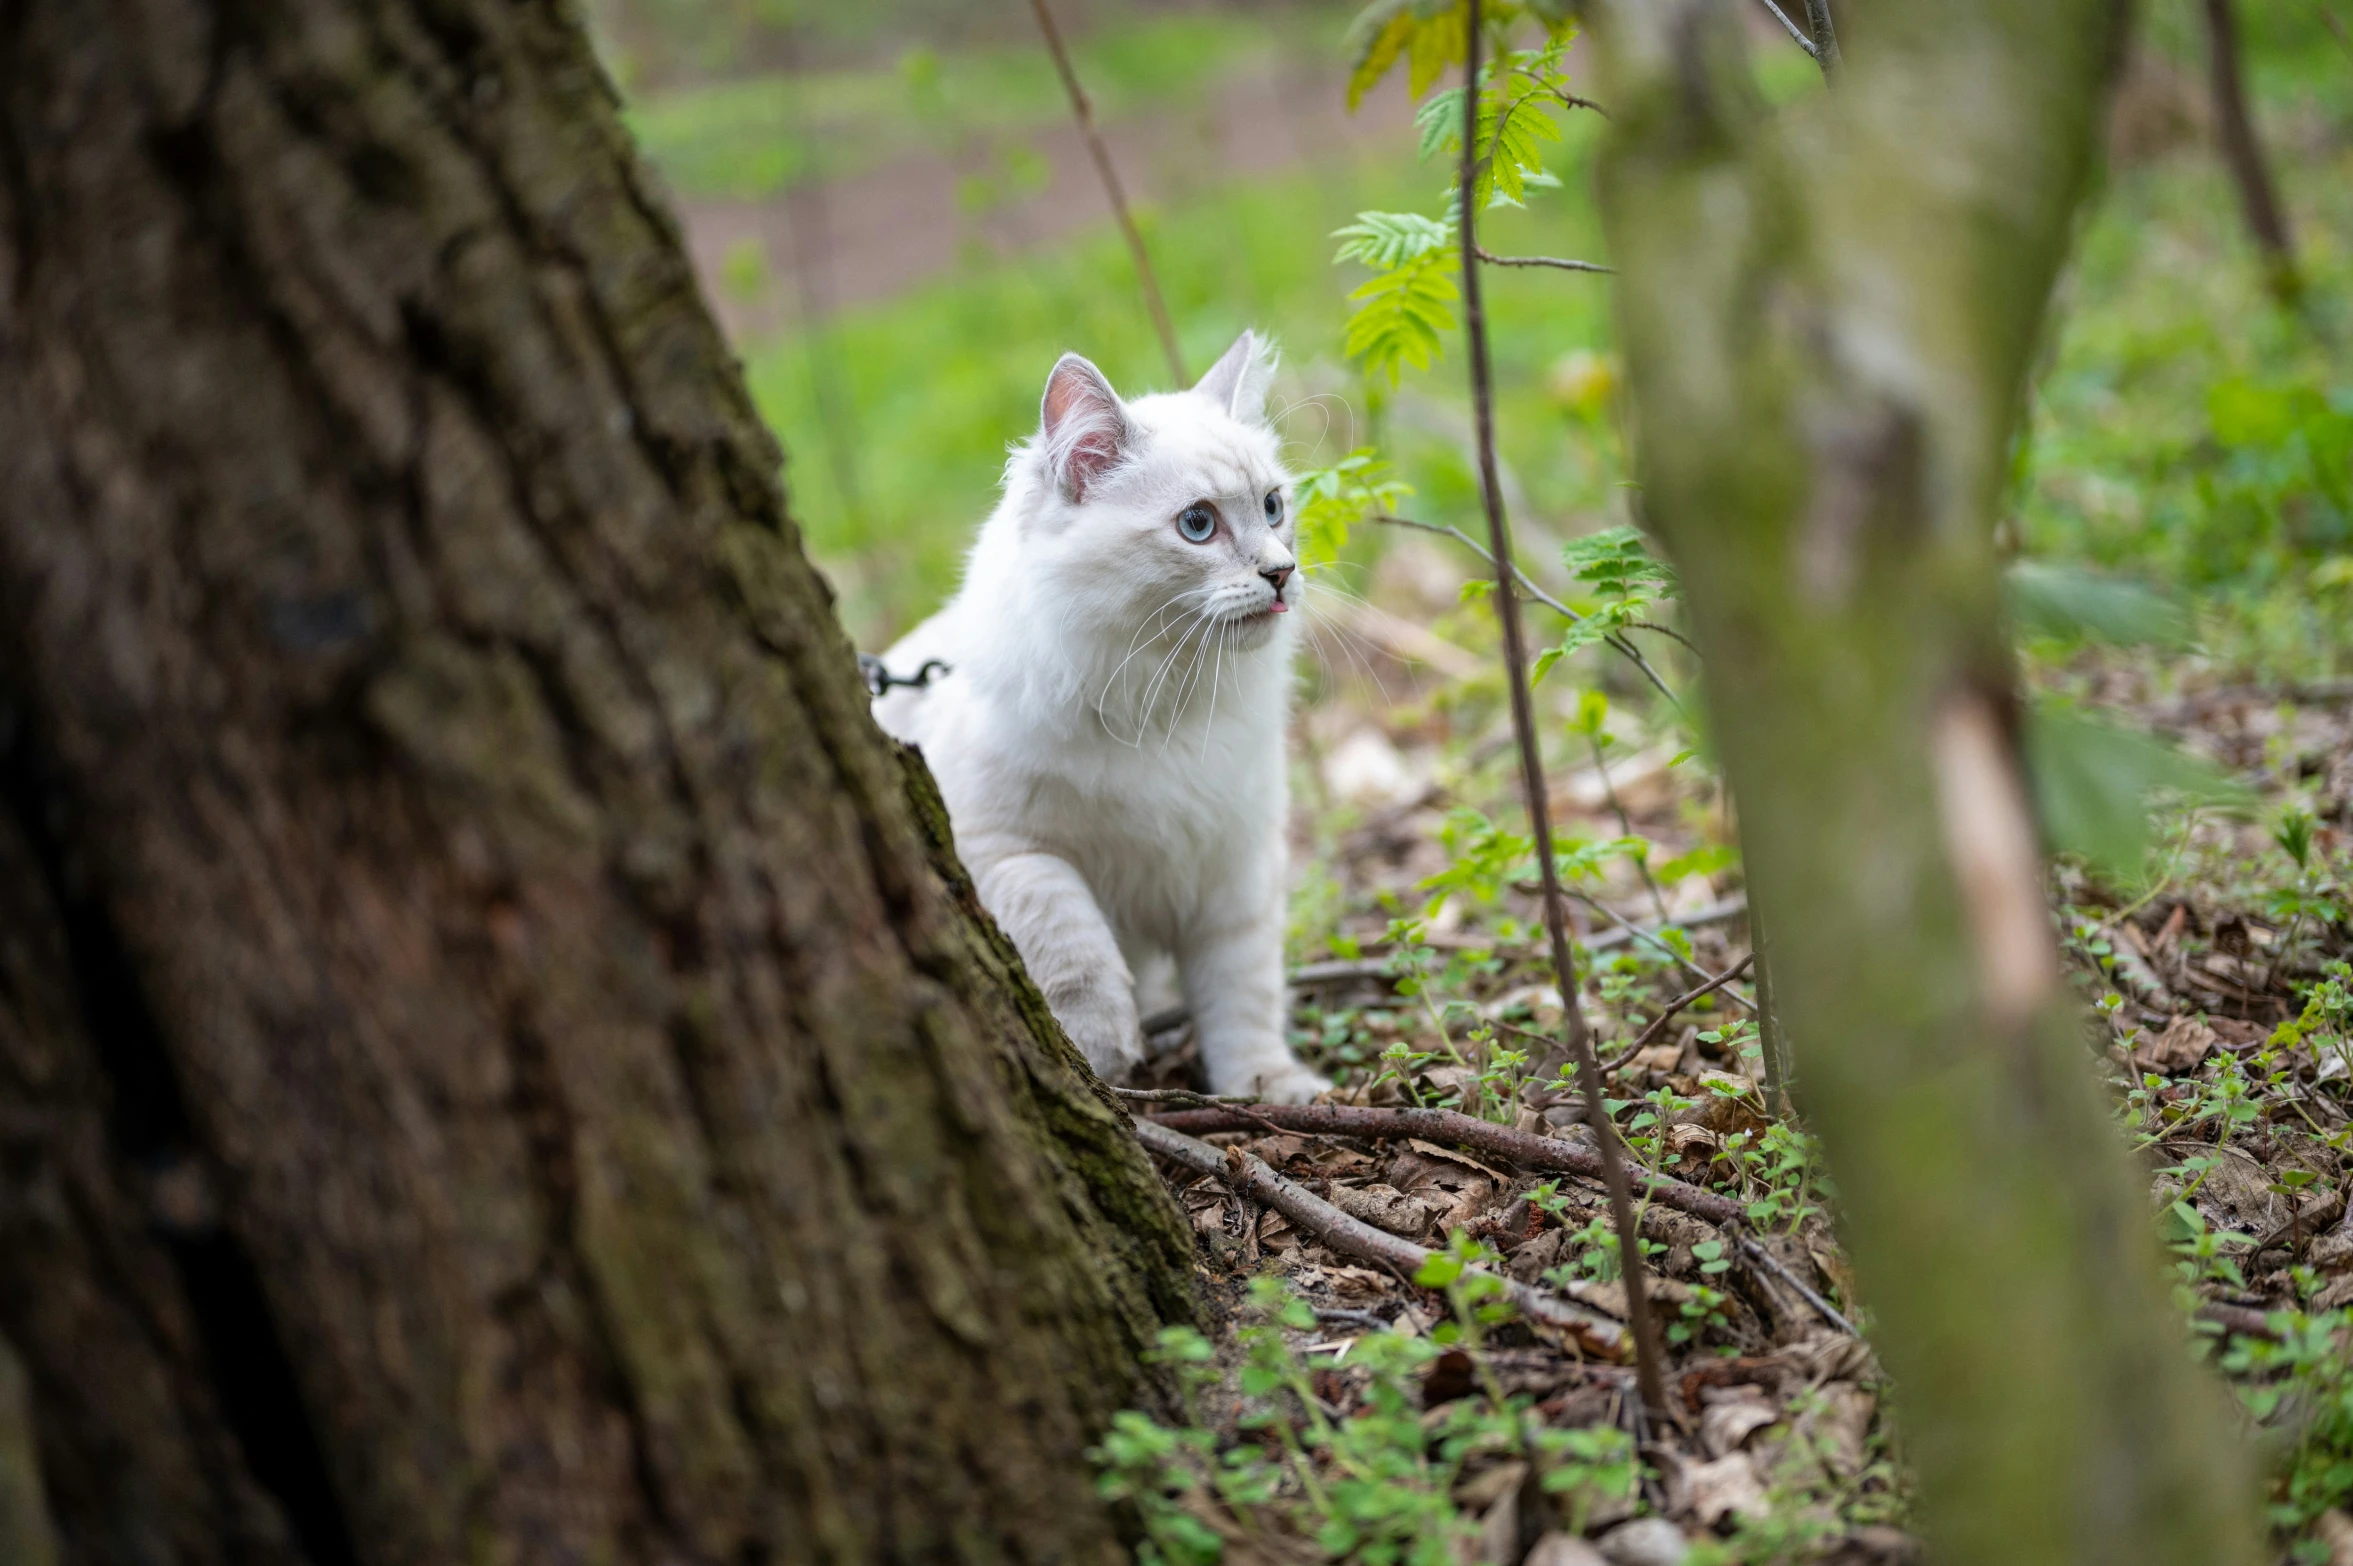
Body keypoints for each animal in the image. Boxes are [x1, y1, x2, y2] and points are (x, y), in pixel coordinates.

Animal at [875, 329, 1336, 1095]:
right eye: (1198, 524)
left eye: (1273, 508)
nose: (1280, 572)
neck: (1165, 698)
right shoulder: (999, 847)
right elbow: (1071, 936)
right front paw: (1098, 1052)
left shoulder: (1235, 868)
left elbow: (1244, 1002)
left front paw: (1269, 1088)